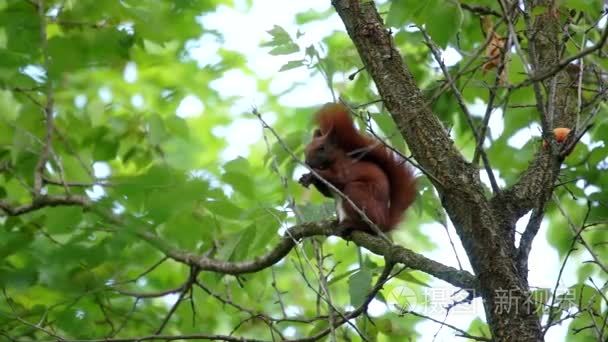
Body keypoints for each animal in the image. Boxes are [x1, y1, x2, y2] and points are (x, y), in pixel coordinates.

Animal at [298, 103, 416, 234]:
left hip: (357, 192)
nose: (307, 162)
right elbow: (327, 193)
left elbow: (339, 179)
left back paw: (351, 225)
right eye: (305, 149)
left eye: (322, 148)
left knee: (369, 224)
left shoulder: (345, 169)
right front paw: (307, 178)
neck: (330, 162)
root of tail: (384, 224)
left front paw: (314, 174)